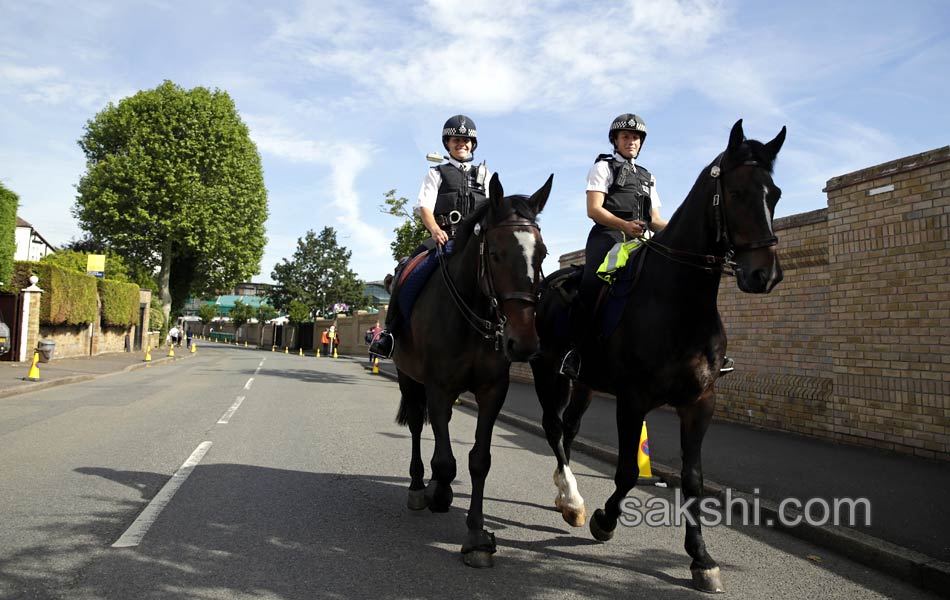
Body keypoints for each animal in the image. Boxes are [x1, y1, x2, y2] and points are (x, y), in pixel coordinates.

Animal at [394, 172, 556, 568]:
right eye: (495, 253)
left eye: (542, 253)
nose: (523, 343)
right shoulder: (437, 387)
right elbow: (446, 461)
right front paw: (439, 494)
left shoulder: (491, 392)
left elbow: (479, 460)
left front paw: (478, 537)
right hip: (409, 379)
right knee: (419, 428)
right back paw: (420, 487)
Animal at [528, 120, 788, 592]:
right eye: (738, 193)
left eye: (774, 193)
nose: (765, 275)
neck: (679, 302)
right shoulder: (633, 401)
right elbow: (629, 472)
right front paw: (604, 520)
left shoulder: (700, 403)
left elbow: (693, 480)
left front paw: (701, 558)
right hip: (549, 373)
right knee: (553, 427)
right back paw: (572, 500)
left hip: (585, 382)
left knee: (569, 429)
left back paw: (565, 493)